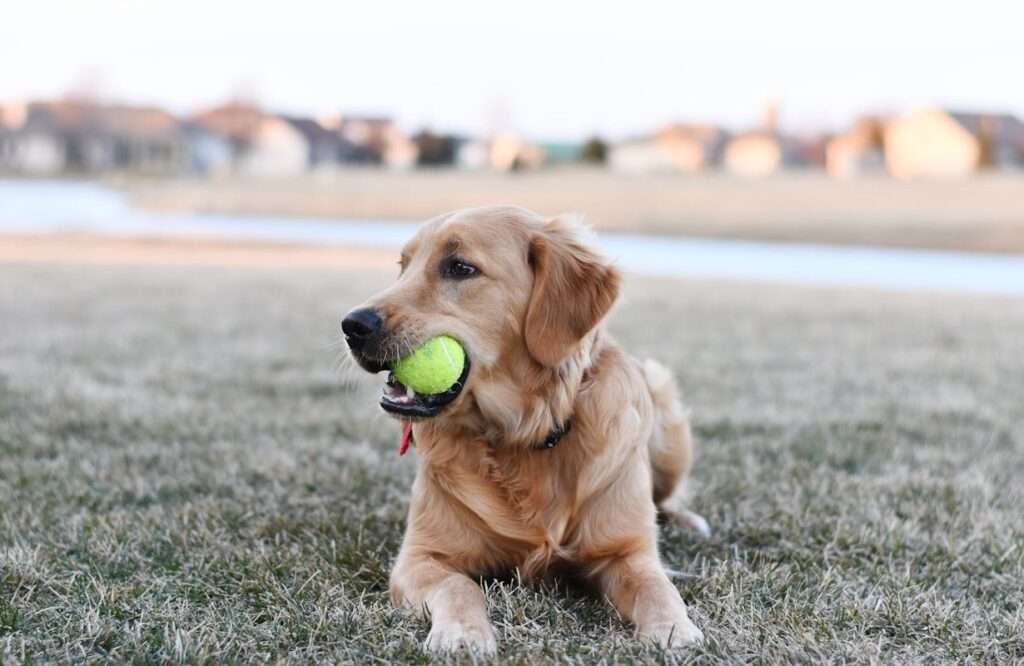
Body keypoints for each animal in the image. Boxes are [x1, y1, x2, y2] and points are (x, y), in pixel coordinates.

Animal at [339, 204, 708, 651]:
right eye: (403, 266)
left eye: (459, 267)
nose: (352, 325)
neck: (523, 433)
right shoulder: (421, 557)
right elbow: (459, 587)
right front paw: (463, 633)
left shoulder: (628, 552)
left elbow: (656, 588)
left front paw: (675, 630)